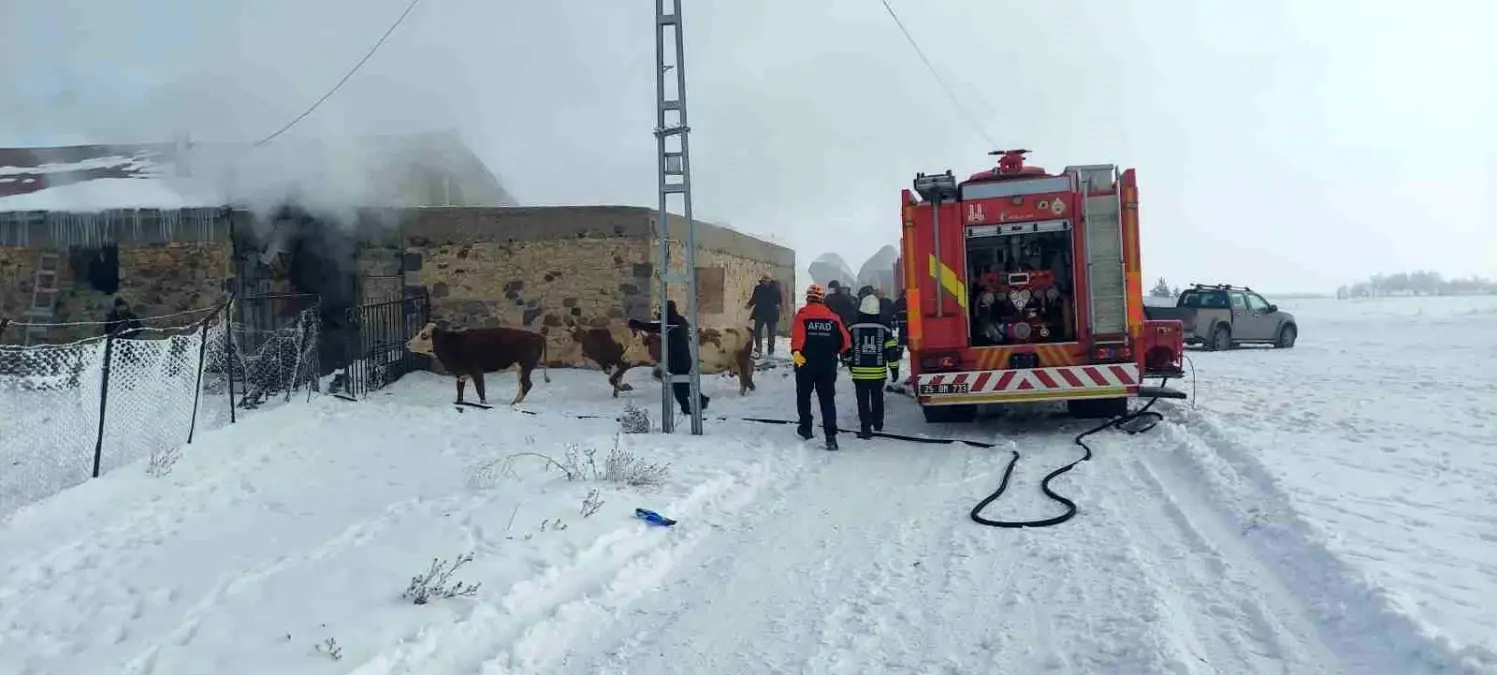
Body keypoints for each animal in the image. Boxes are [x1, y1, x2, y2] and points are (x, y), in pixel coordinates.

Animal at [407, 323, 553, 407]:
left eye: (424, 335)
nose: (407, 343)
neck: (454, 344)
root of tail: (537, 335)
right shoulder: (461, 375)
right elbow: (460, 391)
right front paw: (459, 403)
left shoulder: (476, 371)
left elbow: (480, 390)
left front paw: (484, 404)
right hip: (521, 369)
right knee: (523, 385)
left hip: (525, 367)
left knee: (526, 384)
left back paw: (513, 404)